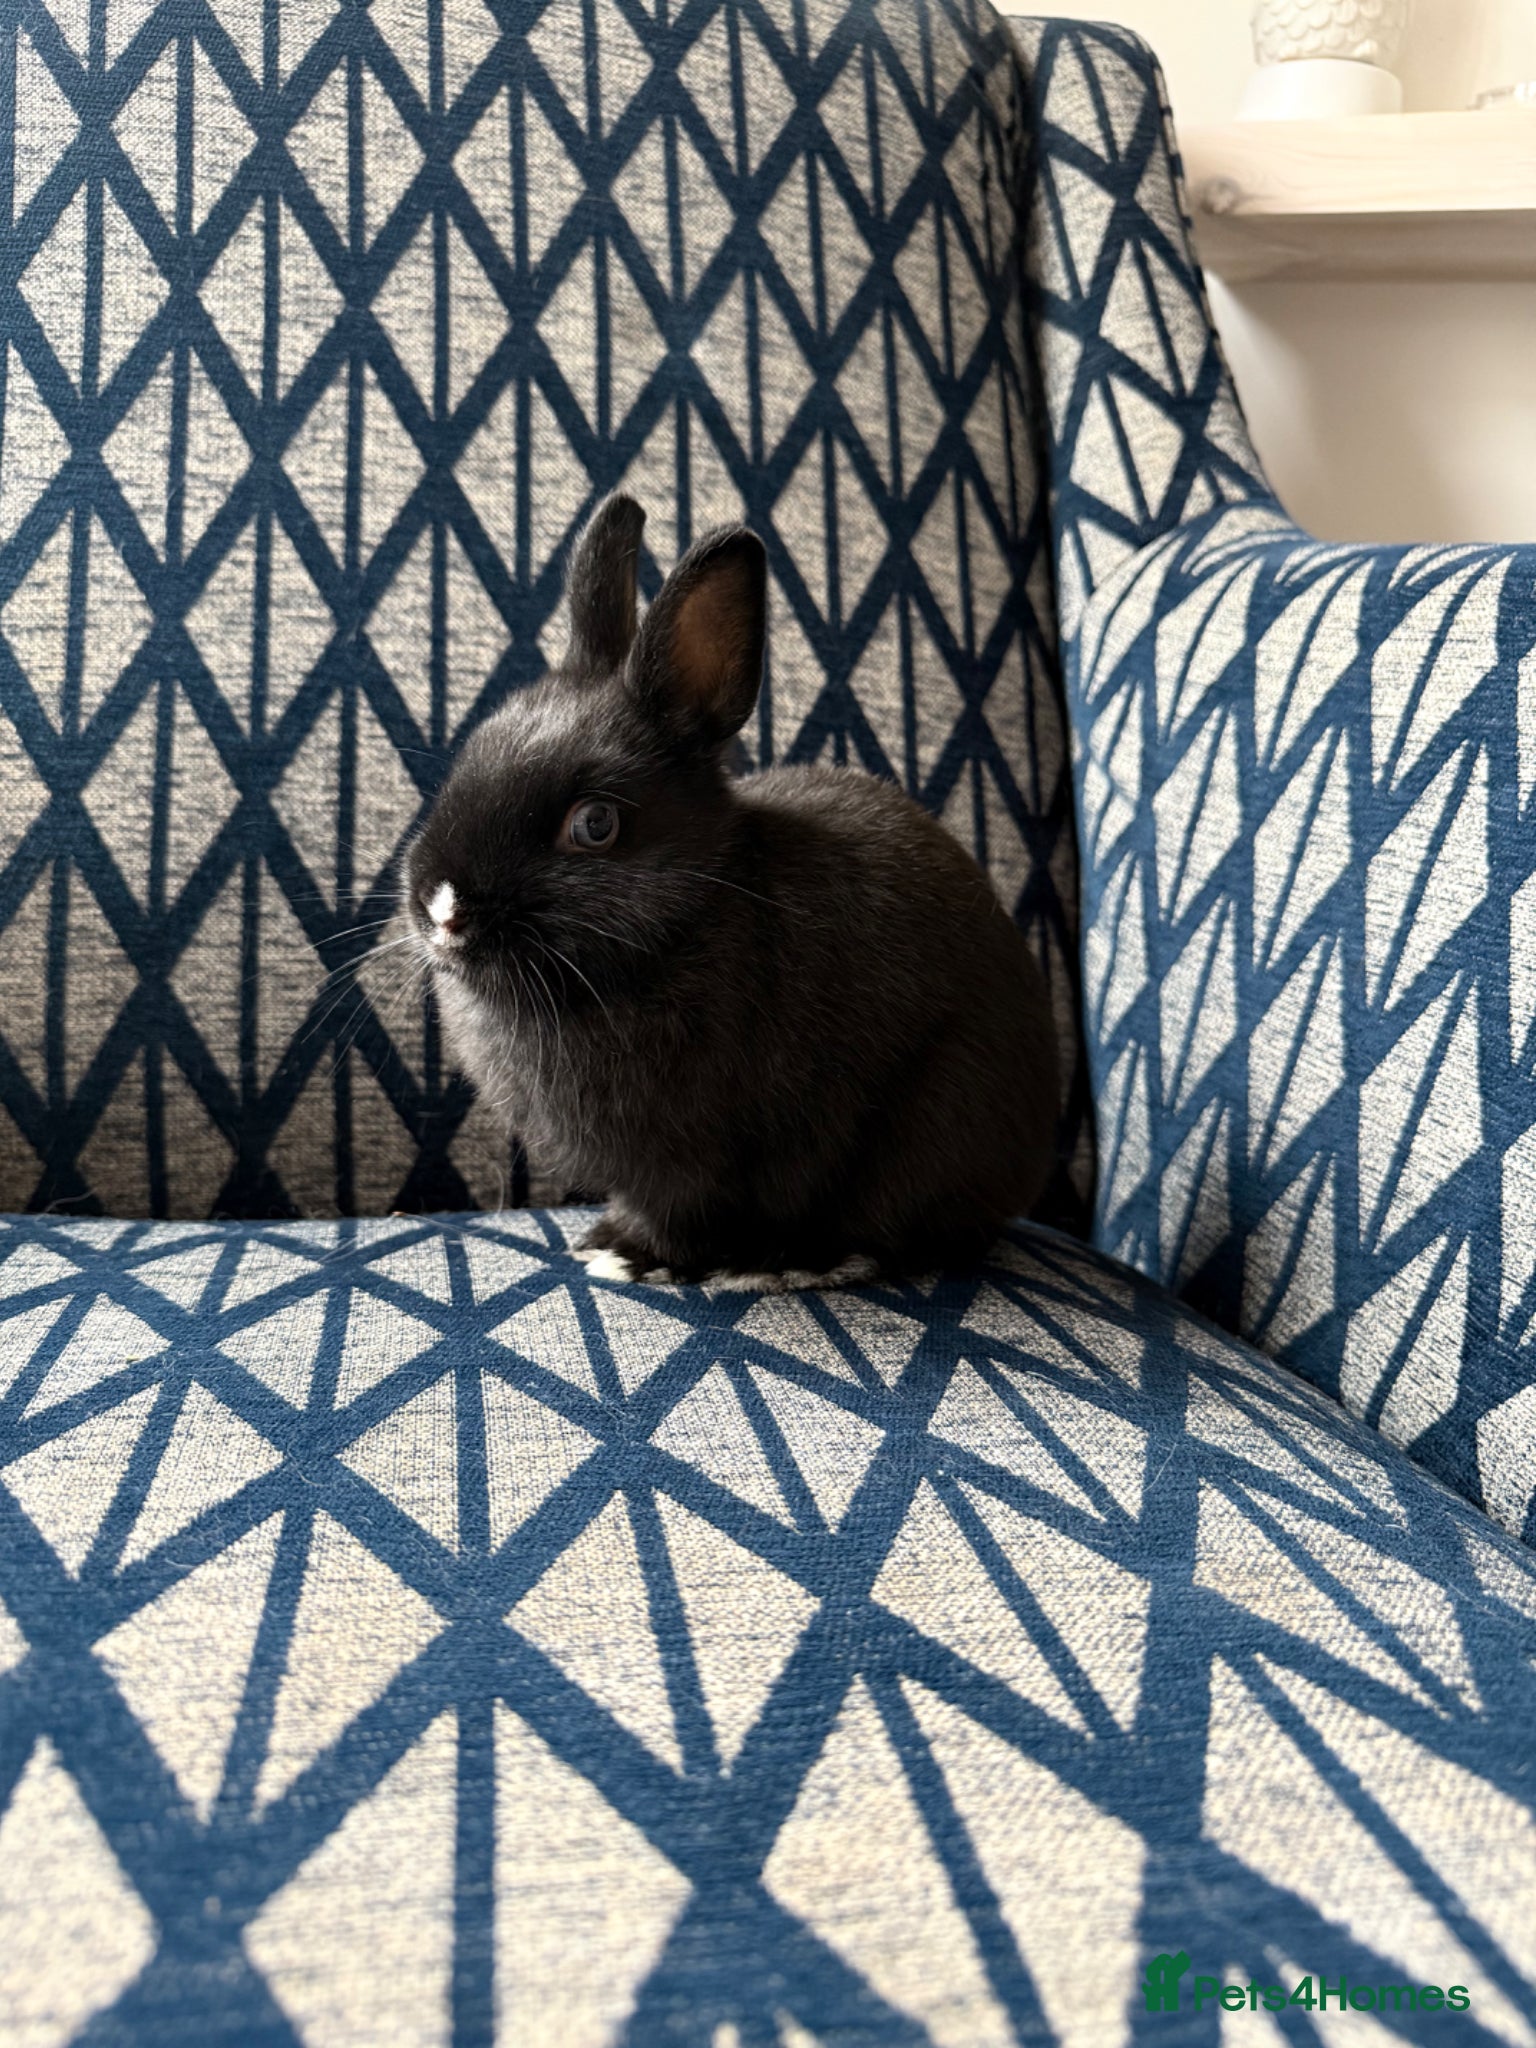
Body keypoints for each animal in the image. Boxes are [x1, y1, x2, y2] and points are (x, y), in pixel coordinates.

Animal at [403, 492, 1060, 1287]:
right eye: (471, 754)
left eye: (594, 824)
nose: (441, 907)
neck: (682, 927)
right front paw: (601, 1239)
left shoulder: (701, 1161)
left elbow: (682, 1216)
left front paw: (627, 1258)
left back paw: (807, 1261)